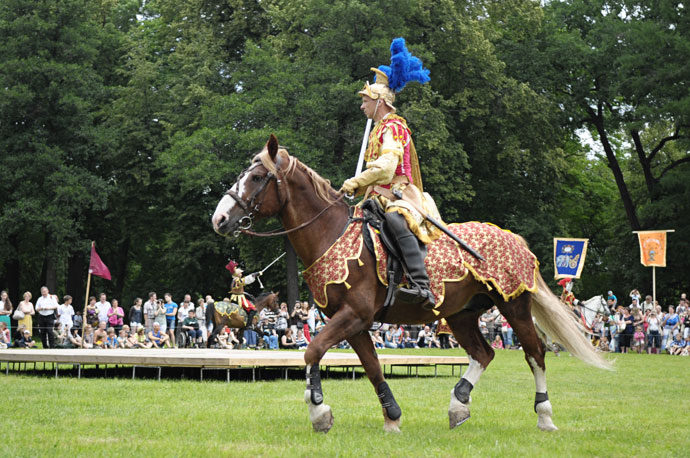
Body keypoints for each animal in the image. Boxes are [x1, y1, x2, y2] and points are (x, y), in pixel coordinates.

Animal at [210, 135, 608, 432]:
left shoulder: (353, 316)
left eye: (257, 178)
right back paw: (458, 406)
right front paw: (392, 417)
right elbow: (371, 367)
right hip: (462, 315)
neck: (331, 233)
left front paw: (319, 411)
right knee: (484, 353)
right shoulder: (355, 323)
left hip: (514, 306)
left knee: (534, 354)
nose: (220, 219)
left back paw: (544, 416)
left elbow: (312, 351)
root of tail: (516, 241)